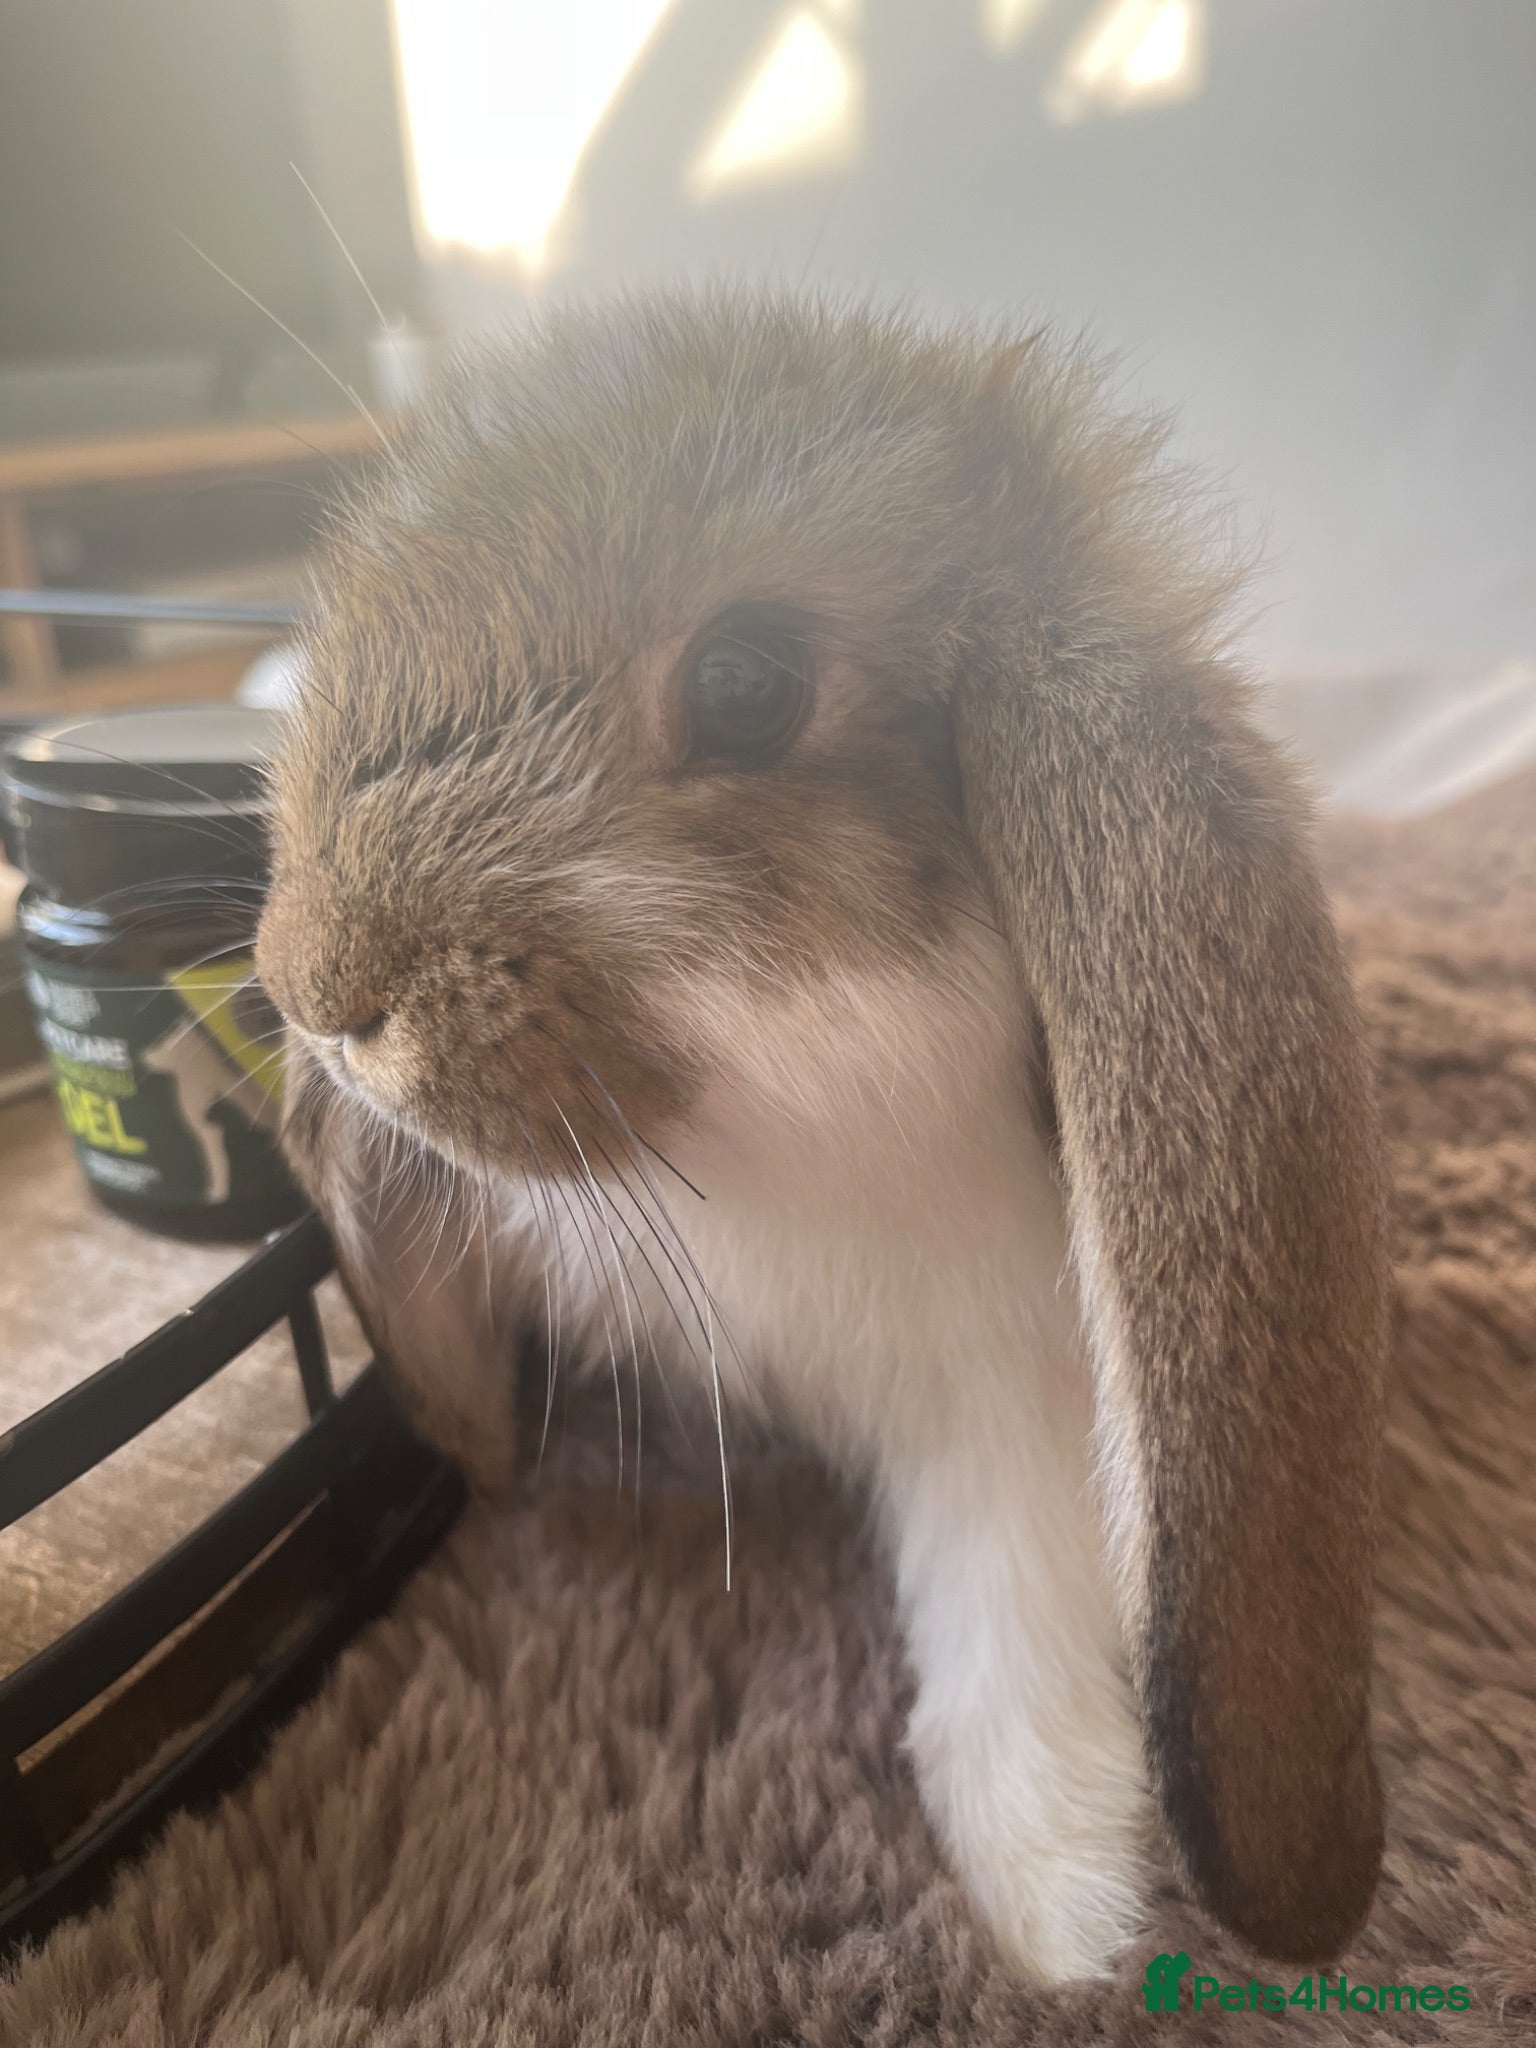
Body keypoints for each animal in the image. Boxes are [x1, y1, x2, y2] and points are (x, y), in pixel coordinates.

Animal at [255, 290, 1389, 1984]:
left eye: (745, 685)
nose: (316, 988)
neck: (779, 1139)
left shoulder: (1008, 1383)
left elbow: (1009, 1582)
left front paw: (1053, 1894)